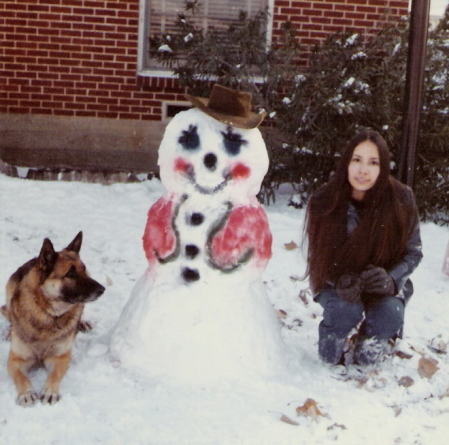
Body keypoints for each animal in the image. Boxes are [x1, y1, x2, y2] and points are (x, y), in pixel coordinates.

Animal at [1, 232, 104, 406]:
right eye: (70, 274)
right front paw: (26, 393)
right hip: (9, 288)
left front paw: (50, 391)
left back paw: (81, 323)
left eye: (83, 269)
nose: (102, 289)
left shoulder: (60, 357)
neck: (49, 316)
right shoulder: (15, 359)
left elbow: (54, 375)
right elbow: (21, 377)